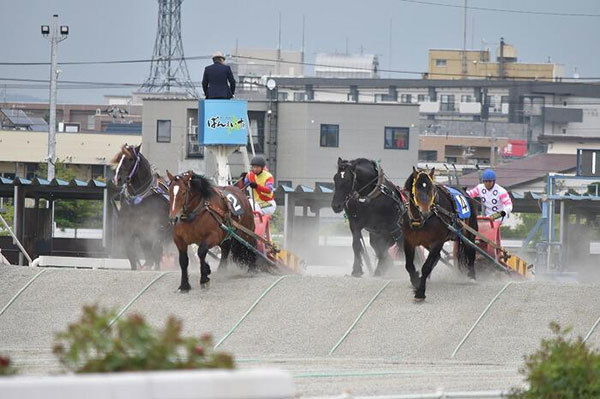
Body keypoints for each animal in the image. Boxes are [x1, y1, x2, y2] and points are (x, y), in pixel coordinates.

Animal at [110, 144, 172, 272]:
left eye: (130, 159)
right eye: (118, 159)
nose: (117, 179)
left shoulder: (158, 229)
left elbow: (156, 250)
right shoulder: (130, 229)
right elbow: (131, 253)